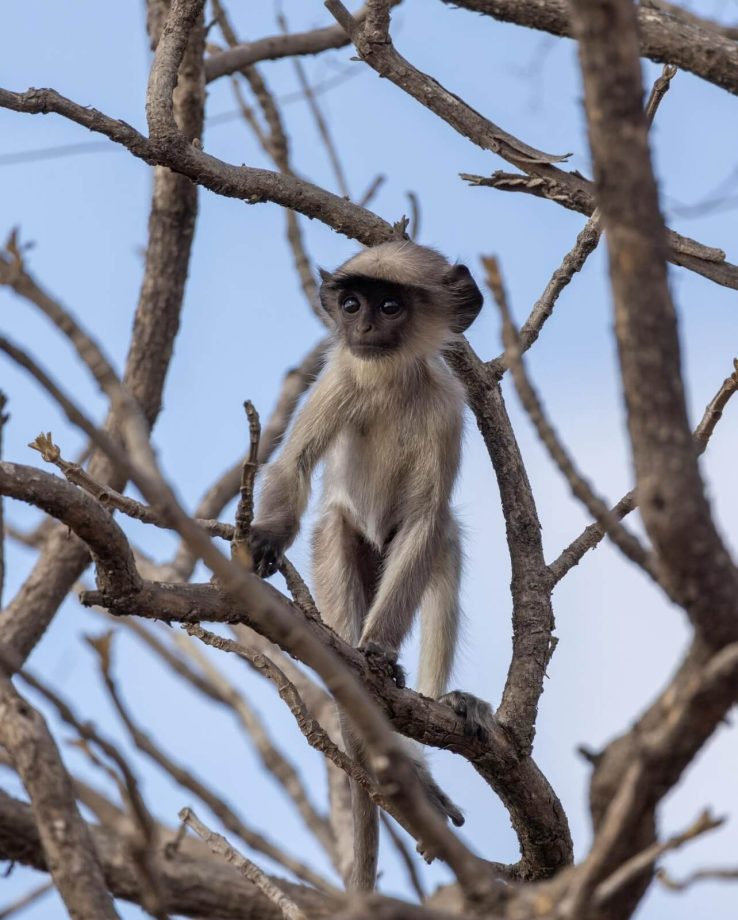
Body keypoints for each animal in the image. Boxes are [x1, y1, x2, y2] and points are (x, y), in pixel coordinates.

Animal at [250, 239, 484, 892]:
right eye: (352, 303)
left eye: (390, 305)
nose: (362, 327)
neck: (390, 382)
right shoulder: (339, 378)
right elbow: (293, 467)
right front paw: (266, 540)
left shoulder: (447, 407)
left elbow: (428, 520)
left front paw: (380, 649)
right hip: (340, 551)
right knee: (334, 527)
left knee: (444, 541)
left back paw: (439, 709)